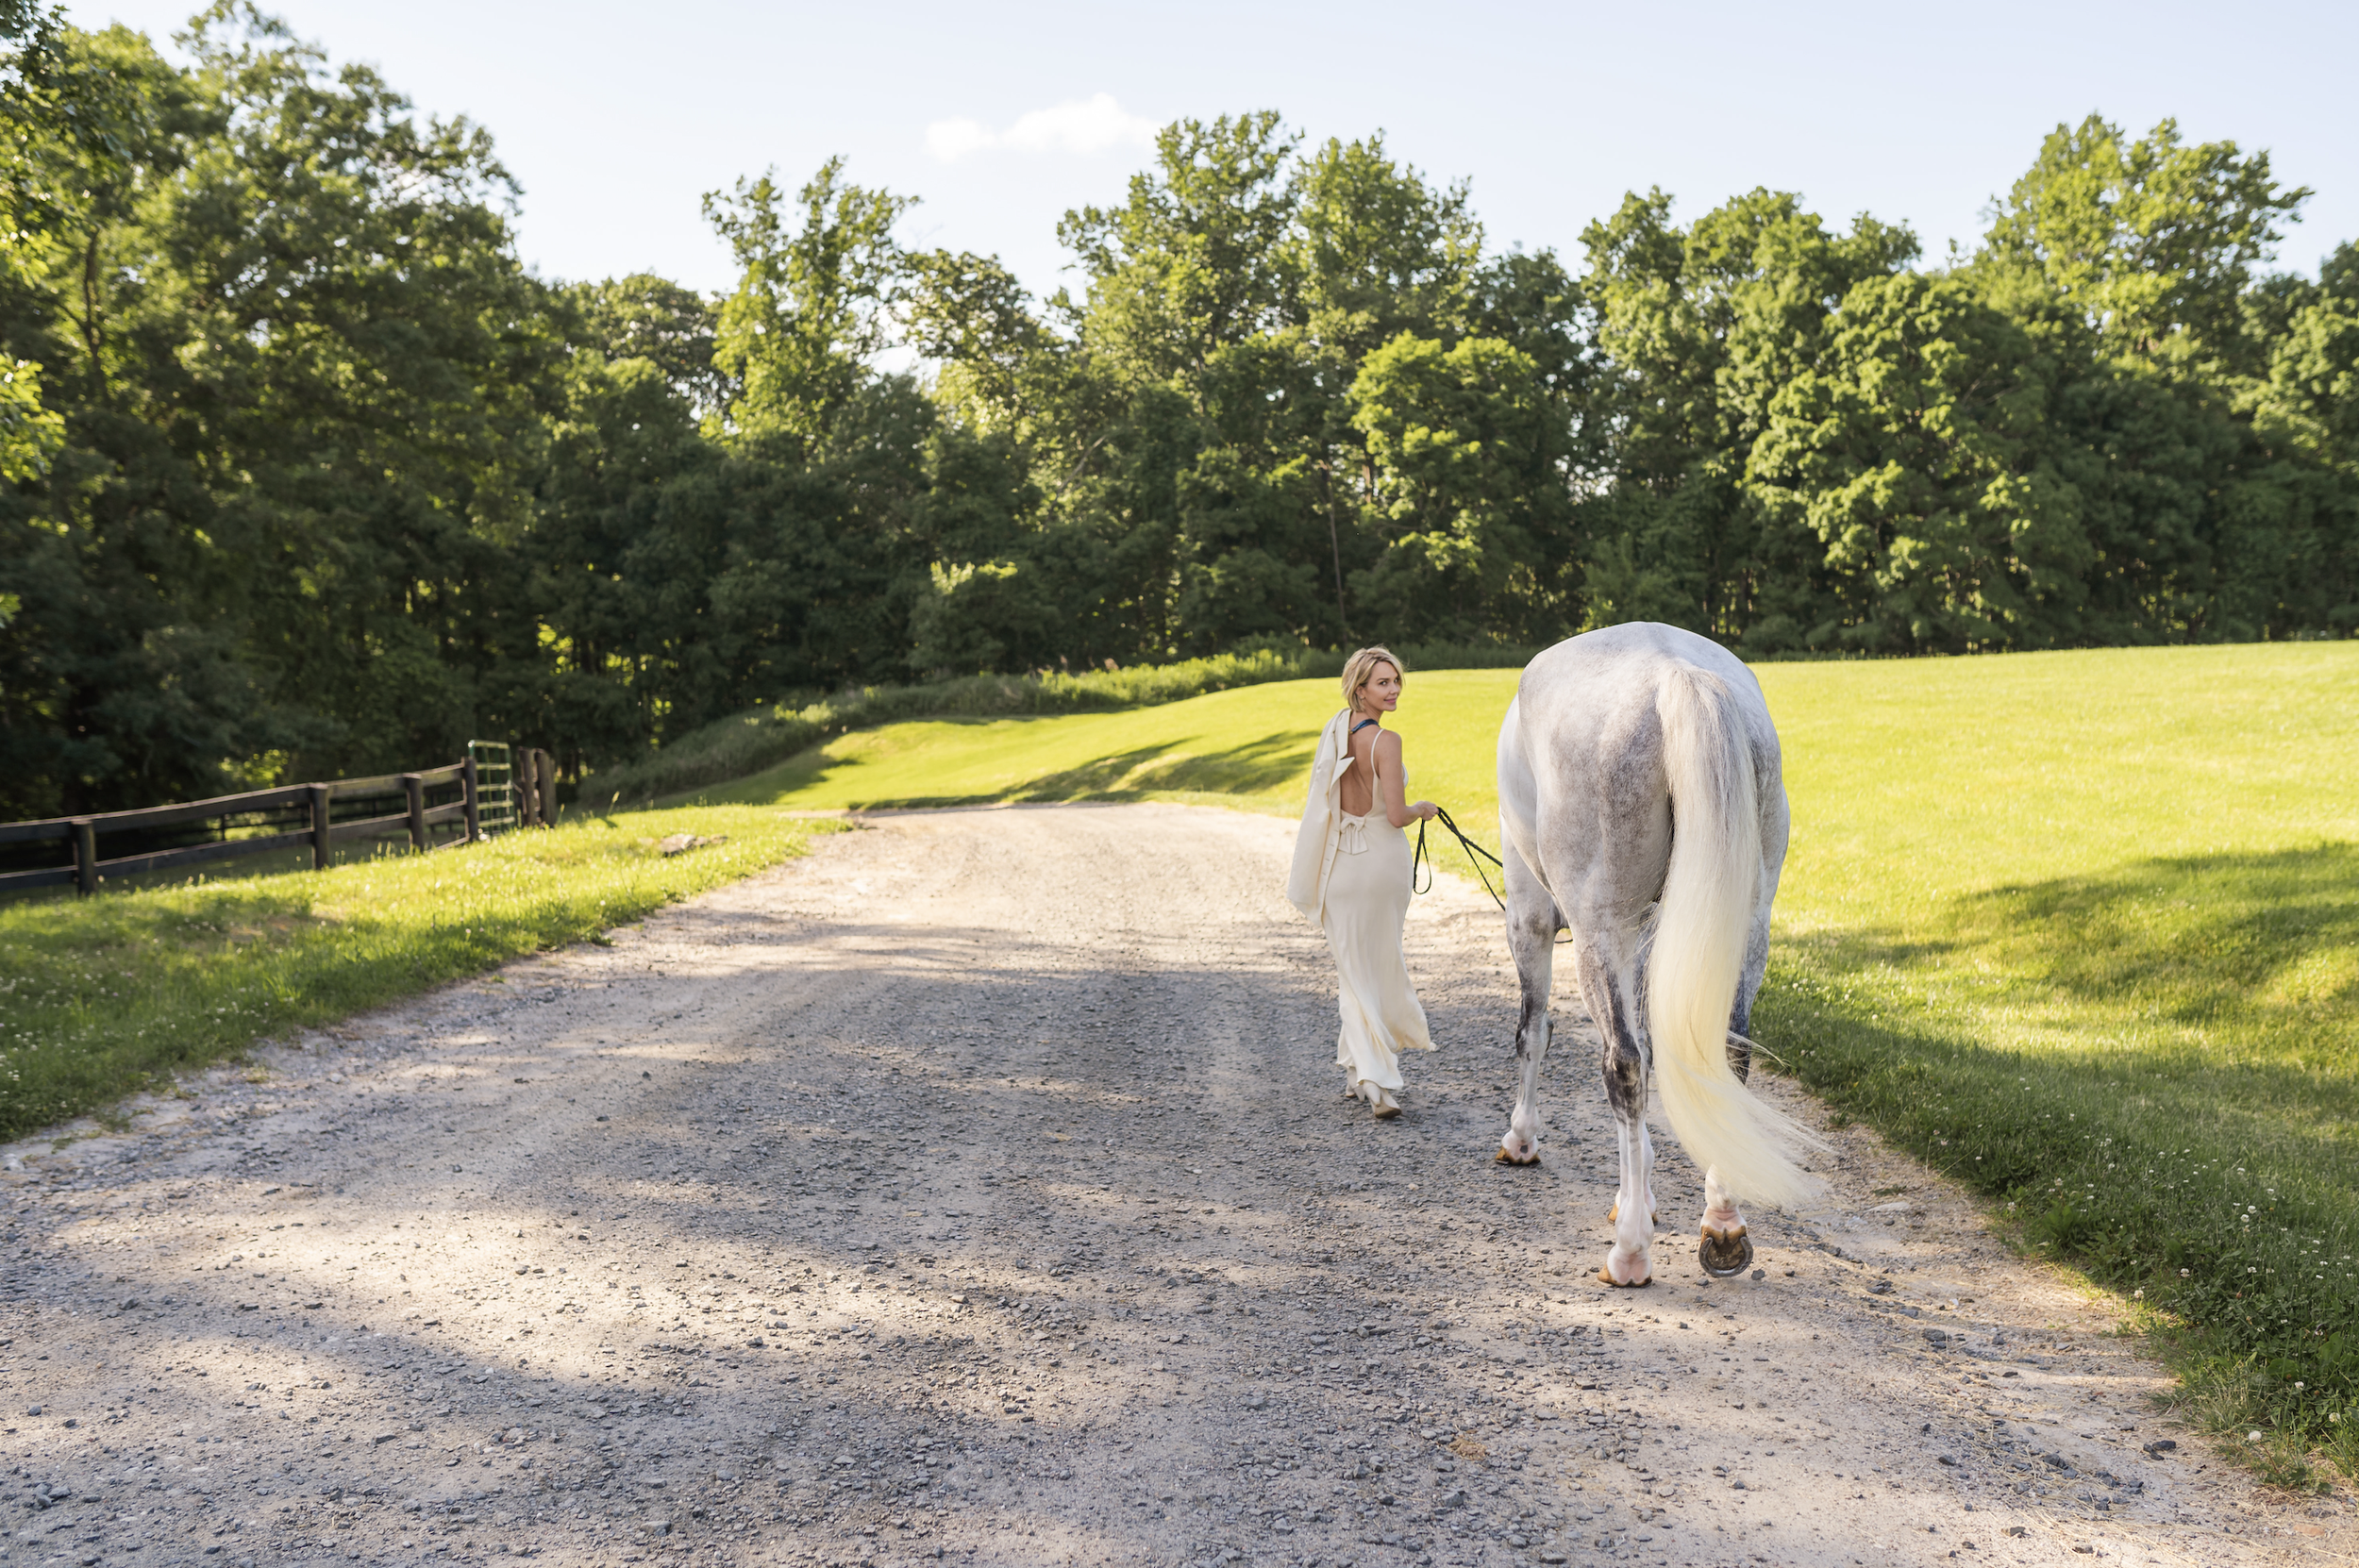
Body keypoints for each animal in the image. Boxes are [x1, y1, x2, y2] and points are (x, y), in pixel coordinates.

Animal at [1492, 622, 1823, 1287]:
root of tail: (1674, 673)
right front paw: (1639, 1191)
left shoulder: (1530, 915)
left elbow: (1534, 1032)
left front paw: (1524, 1139)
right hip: (1748, 923)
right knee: (1726, 1057)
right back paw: (1723, 1224)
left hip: (1598, 929)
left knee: (1622, 1066)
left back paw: (1630, 1252)